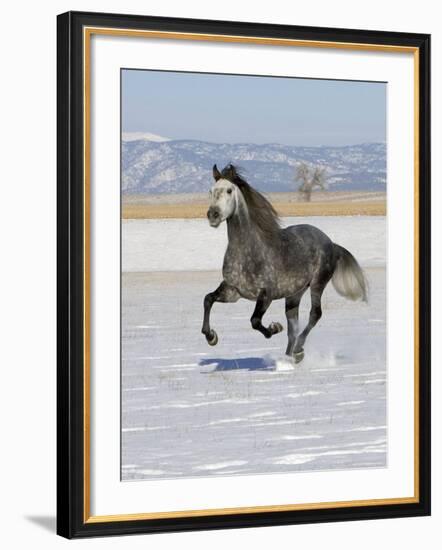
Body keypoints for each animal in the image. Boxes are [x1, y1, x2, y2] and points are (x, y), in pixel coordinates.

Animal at [201, 164, 366, 362]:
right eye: (211, 191)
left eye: (229, 190)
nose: (213, 215)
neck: (248, 253)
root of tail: (330, 242)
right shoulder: (233, 291)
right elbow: (208, 299)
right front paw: (211, 337)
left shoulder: (266, 295)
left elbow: (255, 321)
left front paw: (274, 328)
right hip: (294, 294)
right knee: (293, 328)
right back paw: (289, 358)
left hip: (317, 284)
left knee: (314, 315)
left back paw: (298, 350)